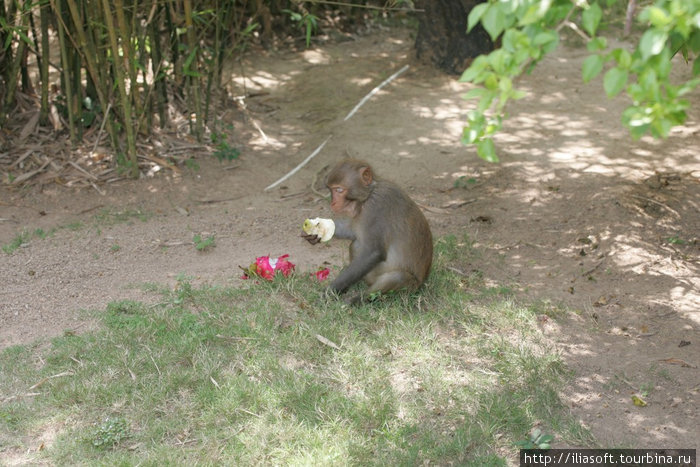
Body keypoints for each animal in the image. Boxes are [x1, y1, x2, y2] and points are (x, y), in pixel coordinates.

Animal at [304, 159, 432, 302]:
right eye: (331, 189)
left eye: (339, 190)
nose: (333, 203)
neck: (369, 195)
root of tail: (422, 282)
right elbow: (352, 232)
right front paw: (316, 230)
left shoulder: (376, 207)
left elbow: (372, 252)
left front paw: (329, 292)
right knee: (355, 244)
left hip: (409, 286)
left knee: (398, 276)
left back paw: (356, 301)